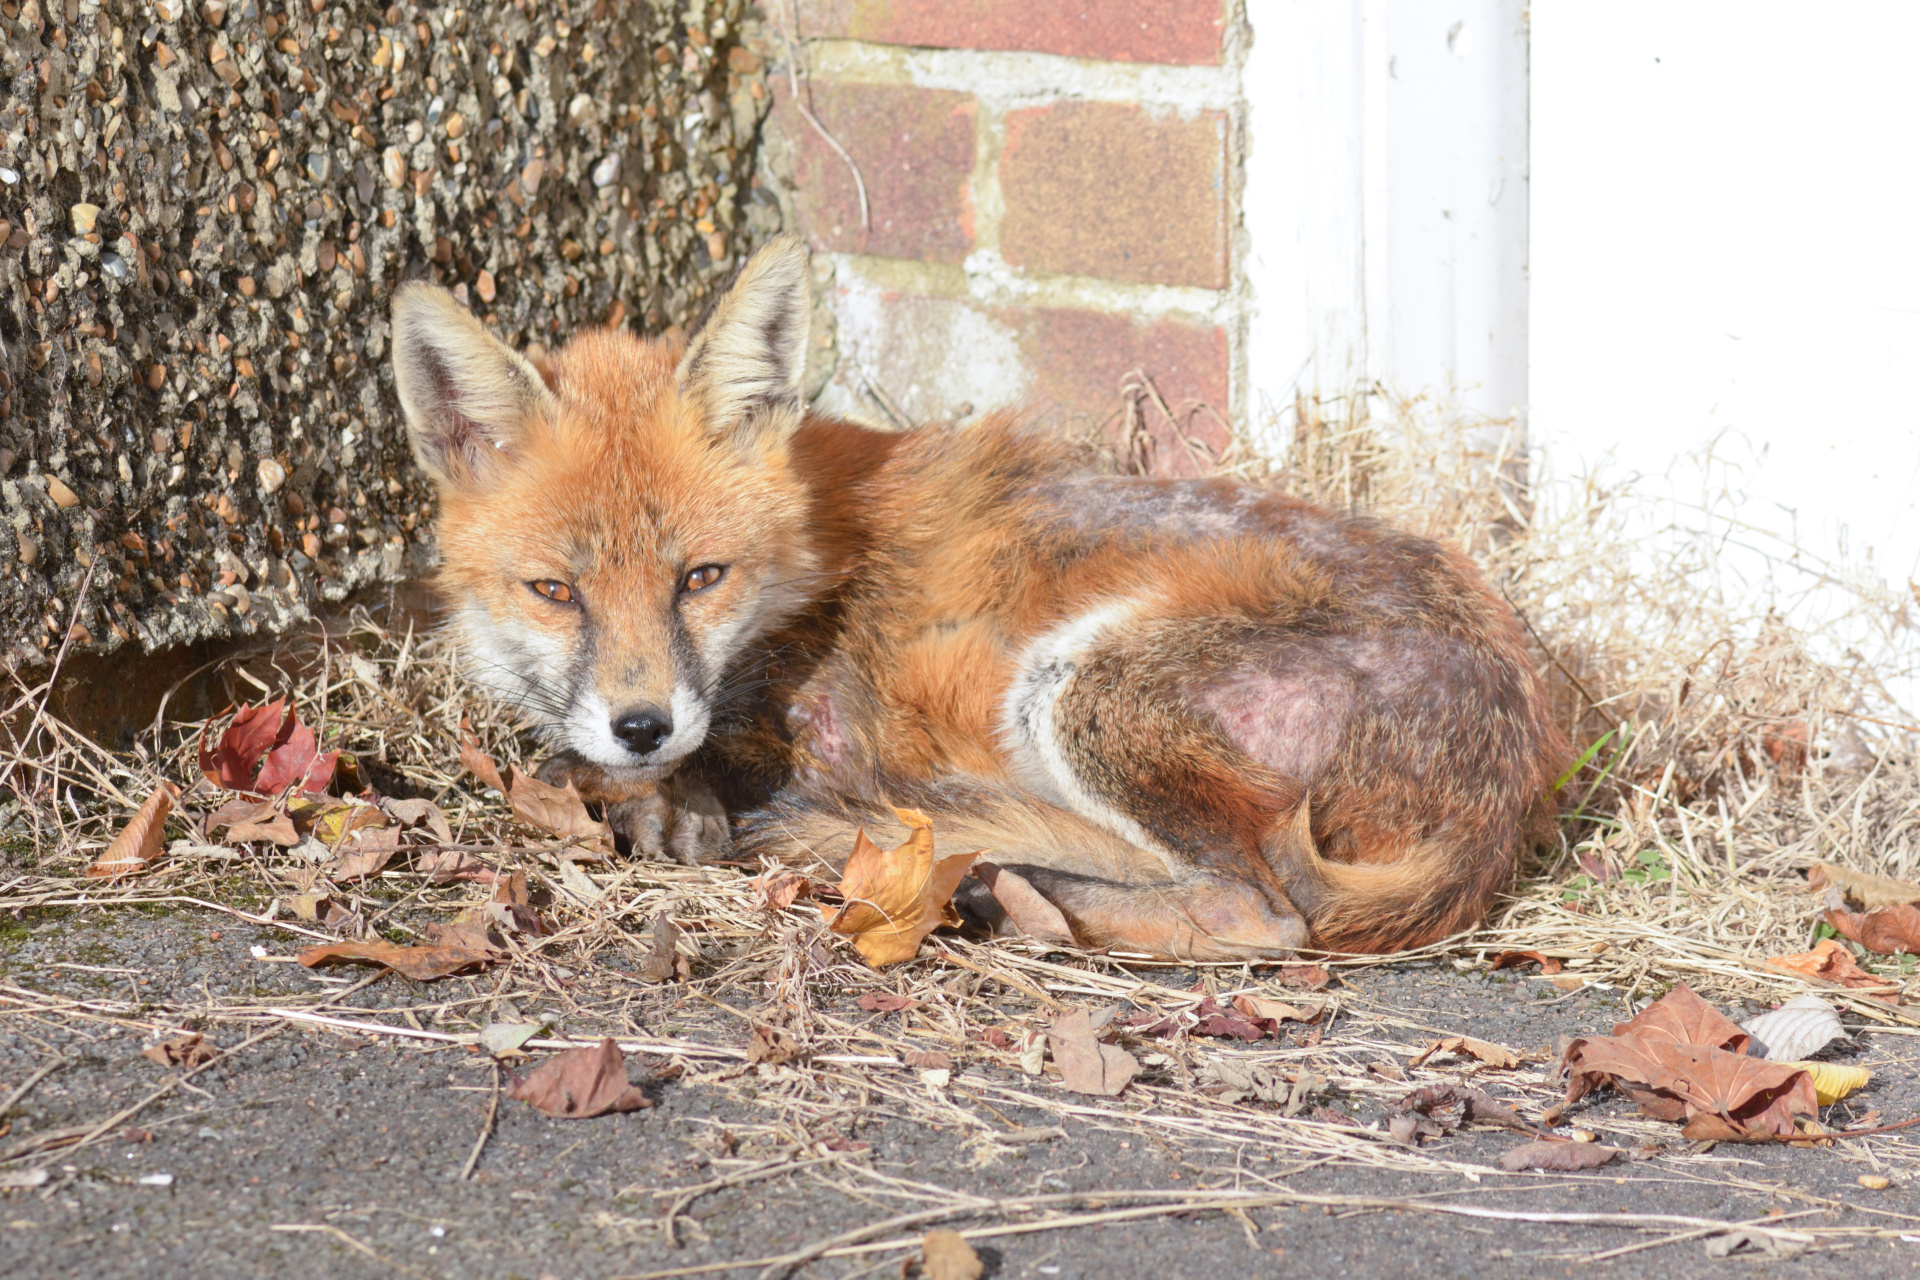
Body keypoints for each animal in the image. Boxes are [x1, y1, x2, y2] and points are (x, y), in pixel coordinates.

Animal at [389, 234, 1567, 959]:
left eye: (701, 577)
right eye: (555, 590)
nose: (642, 724)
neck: (810, 563)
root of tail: (1516, 761)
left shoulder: (832, 740)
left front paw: (662, 802)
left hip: (1080, 688)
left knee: (1257, 912)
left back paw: (1007, 892)